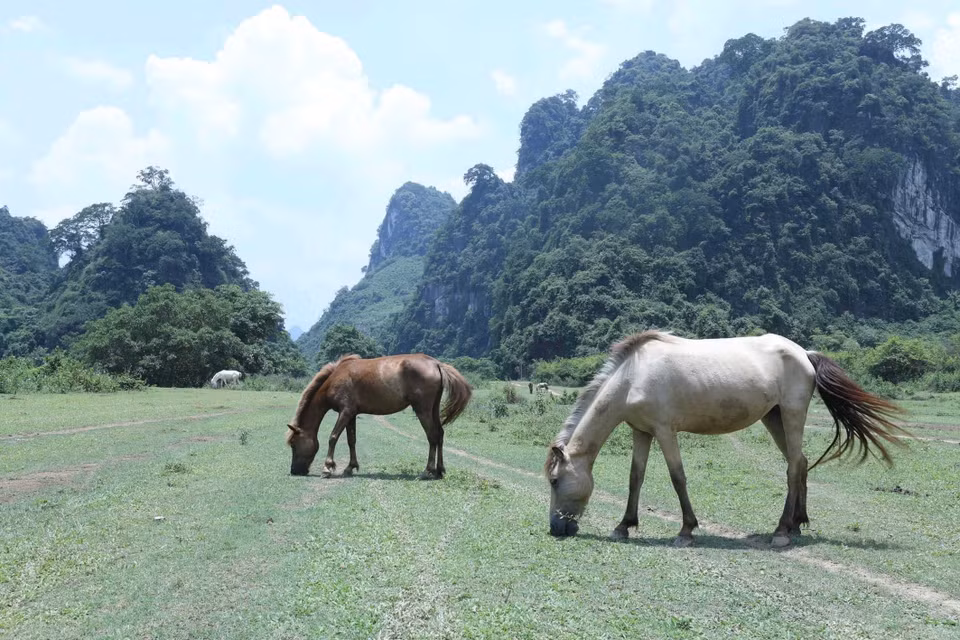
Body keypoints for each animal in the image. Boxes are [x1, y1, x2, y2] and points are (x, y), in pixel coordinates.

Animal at [286, 354, 473, 479]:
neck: (335, 378)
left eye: (293, 444)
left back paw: (427, 471)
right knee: (440, 434)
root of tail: (436, 363)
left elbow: (333, 437)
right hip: (433, 409)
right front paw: (350, 467)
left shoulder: (345, 412)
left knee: (432, 436)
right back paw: (439, 471)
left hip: (423, 410)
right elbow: (351, 440)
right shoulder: (351, 414)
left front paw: (327, 468)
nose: (294, 471)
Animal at [545, 331, 909, 547]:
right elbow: (636, 477)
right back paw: (796, 524)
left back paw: (781, 532)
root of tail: (804, 353)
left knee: (793, 466)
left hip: (791, 414)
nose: (556, 528)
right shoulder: (642, 431)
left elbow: (677, 477)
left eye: (554, 481)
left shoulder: (665, 431)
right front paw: (624, 526)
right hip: (774, 417)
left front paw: (686, 530)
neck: (633, 377)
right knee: (801, 462)